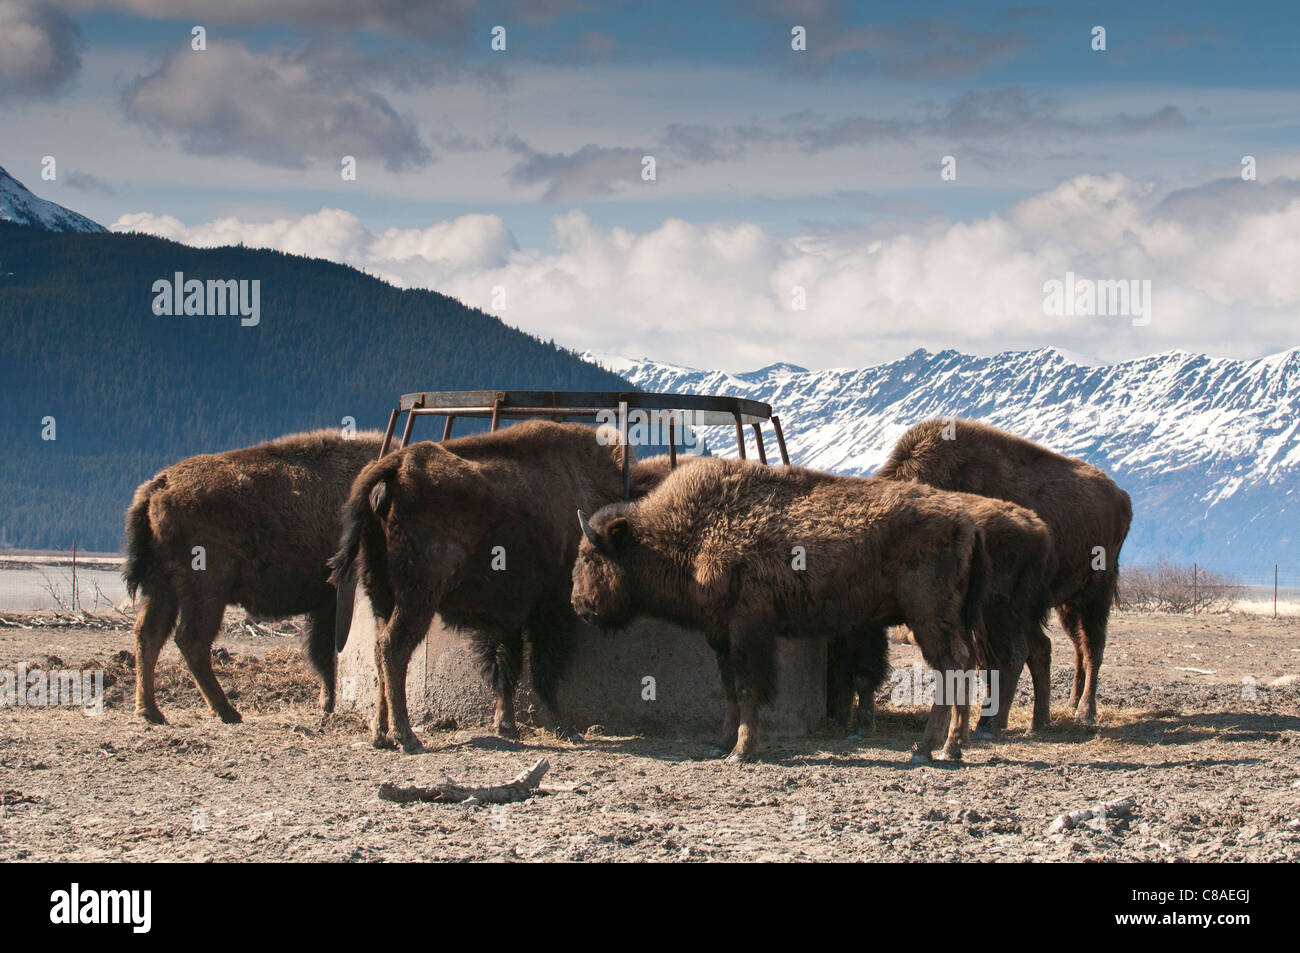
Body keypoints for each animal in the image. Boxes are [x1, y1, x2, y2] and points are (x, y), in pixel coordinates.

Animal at [121, 426, 384, 722]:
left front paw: (325, 703)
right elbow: (328, 652)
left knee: (149, 634)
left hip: (160, 587)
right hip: (206, 590)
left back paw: (151, 711)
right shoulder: (331, 602)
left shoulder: (324, 603)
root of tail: (159, 485)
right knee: (191, 639)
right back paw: (225, 710)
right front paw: (327, 703)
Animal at [330, 421, 655, 754]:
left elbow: (505, 664)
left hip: (381, 595)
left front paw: (506, 724)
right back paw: (406, 737)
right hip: (417, 597)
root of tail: (393, 466)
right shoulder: (549, 608)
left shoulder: (508, 611)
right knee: (393, 647)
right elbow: (542, 666)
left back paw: (380, 734)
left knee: (378, 649)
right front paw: (563, 727)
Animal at [569, 457, 982, 764]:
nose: (579, 606)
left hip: (926, 616)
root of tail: (963, 518)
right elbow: (730, 689)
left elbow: (749, 687)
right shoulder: (721, 636)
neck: (688, 531)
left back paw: (926, 750)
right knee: (961, 665)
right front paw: (719, 745)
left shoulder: (749, 630)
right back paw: (951, 748)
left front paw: (742, 751)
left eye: (590, 557)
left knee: (949, 667)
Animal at [878, 416, 1133, 722]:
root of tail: (1121, 496)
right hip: (1066, 603)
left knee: (1093, 646)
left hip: (1096, 592)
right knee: (1076, 646)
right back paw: (1067, 705)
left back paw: (1084, 712)